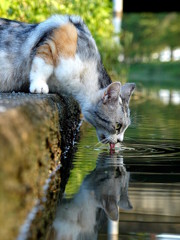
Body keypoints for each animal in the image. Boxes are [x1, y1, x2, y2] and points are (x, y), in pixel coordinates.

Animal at [0, 15, 135, 146]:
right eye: (118, 126)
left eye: (125, 127)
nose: (120, 141)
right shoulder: (52, 42)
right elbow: (42, 65)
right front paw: (39, 86)